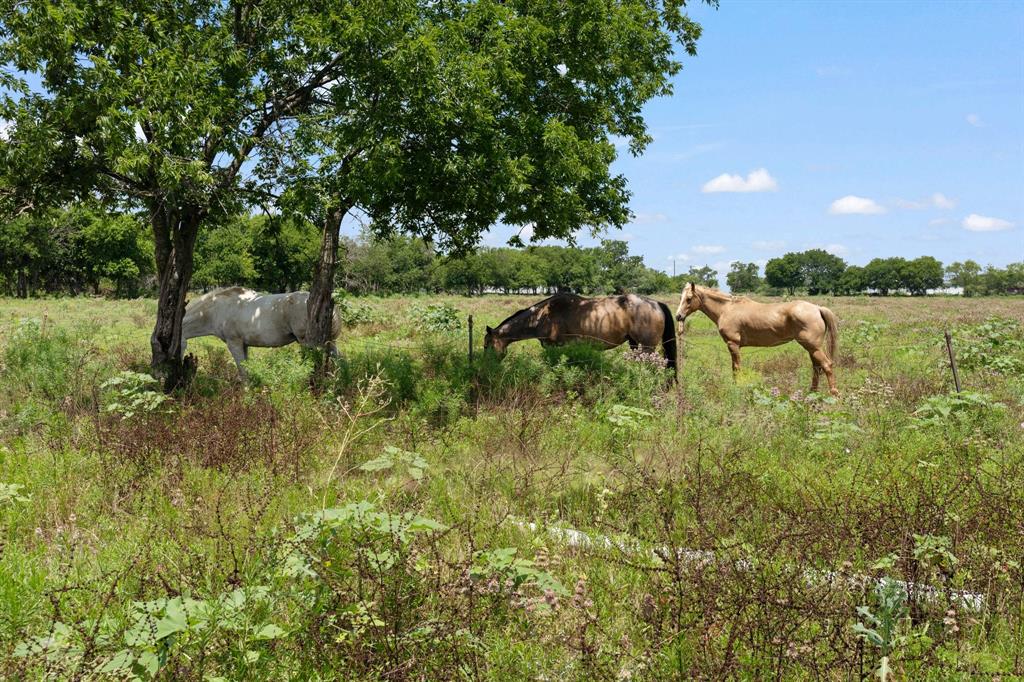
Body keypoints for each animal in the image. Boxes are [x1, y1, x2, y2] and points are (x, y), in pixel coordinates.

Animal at [182, 282, 342, 376]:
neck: (218, 310)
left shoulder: (234, 343)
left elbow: (243, 372)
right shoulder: (244, 345)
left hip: (310, 343)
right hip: (329, 342)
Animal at [481, 288, 675, 368]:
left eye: (486, 345)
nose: (486, 364)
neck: (543, 315)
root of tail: (656, 303)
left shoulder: (554, 347)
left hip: (647, 347)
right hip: (634, 344)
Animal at [671, 282, 839, 393]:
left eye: (689, 298)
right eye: (681, 297)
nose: (678, 316)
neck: (727, 309)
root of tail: (817, 308)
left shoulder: (733, 344)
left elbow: (736, 368)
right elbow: (734, 368)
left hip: (813, 347)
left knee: (826, 365)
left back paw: (834, 394)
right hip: (811, 348)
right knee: (817, 368)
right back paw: (812, 393)